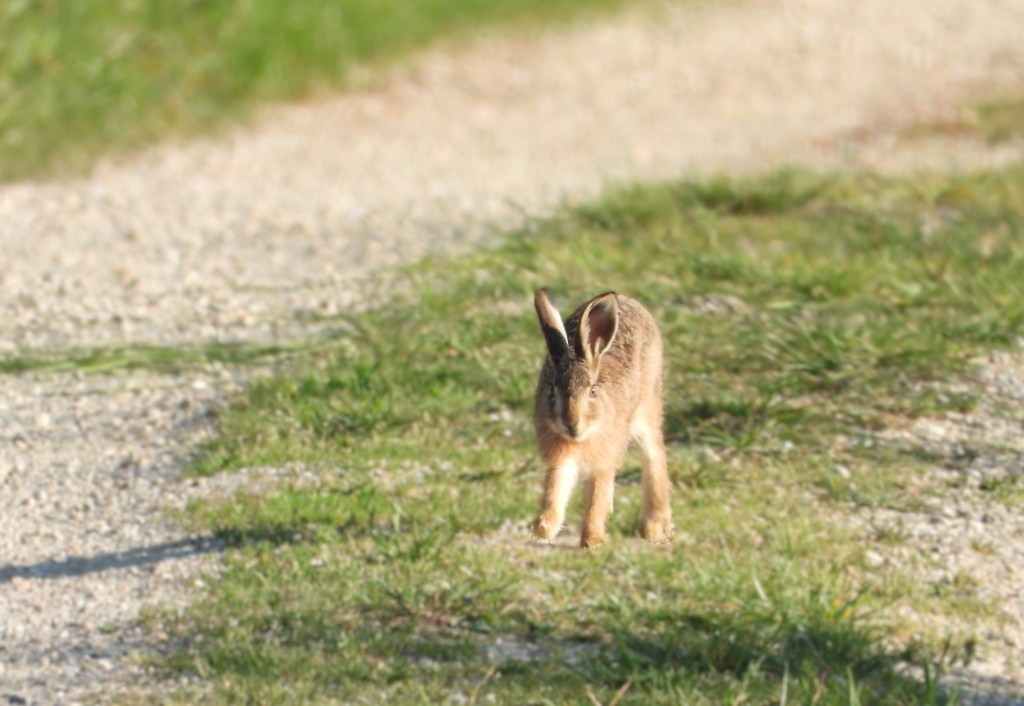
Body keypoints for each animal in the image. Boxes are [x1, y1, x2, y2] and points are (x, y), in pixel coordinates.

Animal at [532, 288, 673, 548]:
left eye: (593, 391)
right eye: (552, 392)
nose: (571, 422)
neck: (582, 437)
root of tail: (631, 301)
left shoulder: (605, 460)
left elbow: (598, 494)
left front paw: (592, 541)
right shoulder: (560, 459)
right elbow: (555, 489)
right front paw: (543, 529)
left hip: (648, 408)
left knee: (654, 456)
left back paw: (654, 528)